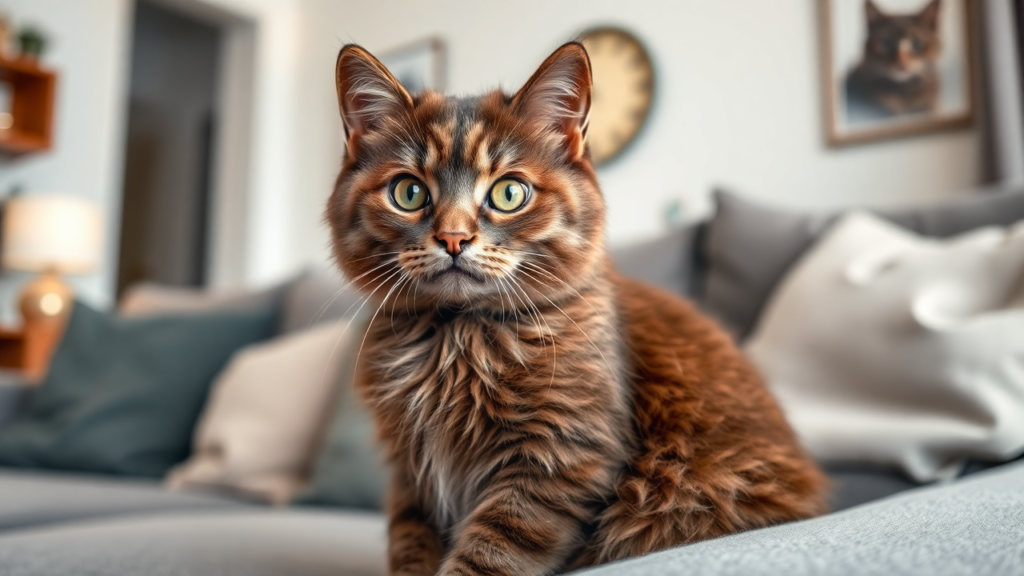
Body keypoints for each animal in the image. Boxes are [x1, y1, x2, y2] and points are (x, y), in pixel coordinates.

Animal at [325, 41, 823, 573]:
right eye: (409, 192)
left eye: (508, 192)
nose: (454, 238)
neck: (455, 338)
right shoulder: (411, 477)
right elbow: (410, 547)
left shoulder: (557, 456)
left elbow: (488, 555)